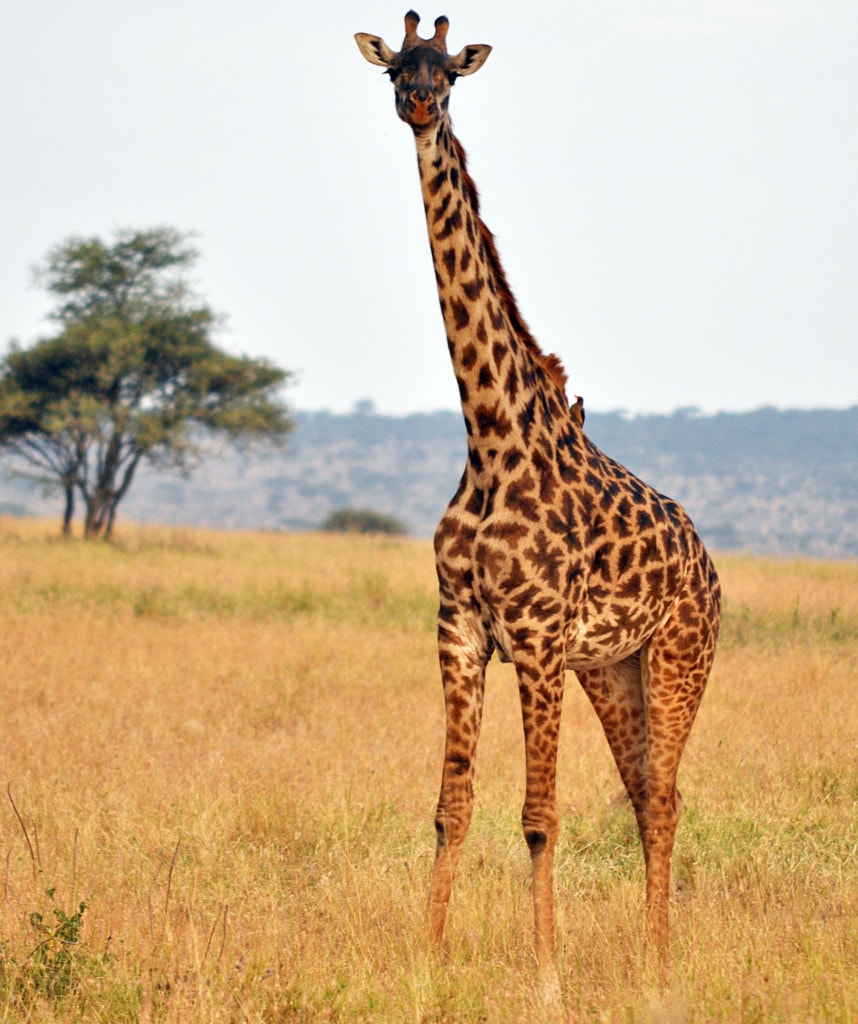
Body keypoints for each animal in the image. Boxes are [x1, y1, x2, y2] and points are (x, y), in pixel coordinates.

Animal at [355, 12, 720, 989]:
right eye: (397, 69)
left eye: (450, 72)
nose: (419, 105)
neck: (488, 436)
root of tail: (708, 564)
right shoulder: (460, 626)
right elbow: (451, 805)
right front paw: (426, 960)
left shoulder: (537, 637)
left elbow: (538, 816)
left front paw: (547, 975)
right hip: (613, 667)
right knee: (644, 790)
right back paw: (650, 956)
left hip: (679, 656)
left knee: (665, 797)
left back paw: (658, 967)